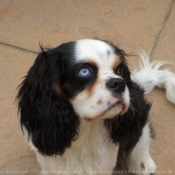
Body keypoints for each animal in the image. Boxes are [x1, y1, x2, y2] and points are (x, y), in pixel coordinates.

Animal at [16, 39, 175, 174]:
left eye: (119, 70)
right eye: (84, 72)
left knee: (142, 129)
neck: (85, 130)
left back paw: (142, 161)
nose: (119, 82)